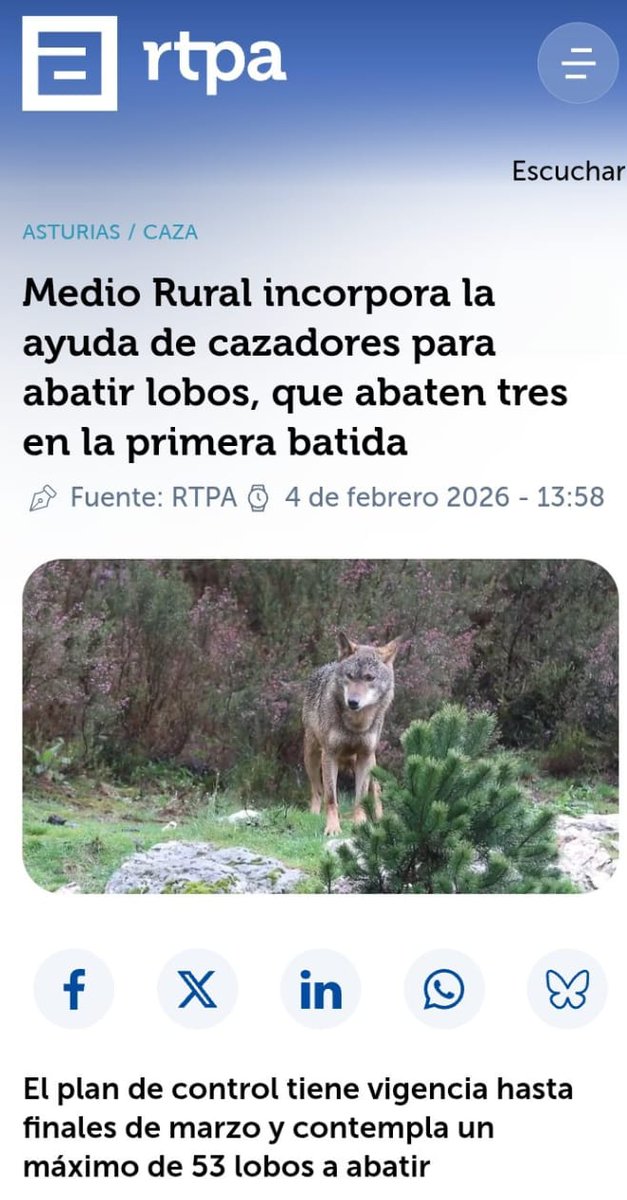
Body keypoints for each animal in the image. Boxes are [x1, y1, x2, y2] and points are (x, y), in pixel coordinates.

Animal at [303, 632, 401, 835]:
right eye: (350, 676)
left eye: (369, 678)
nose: (353, 702)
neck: (356, 725)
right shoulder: (329, 755)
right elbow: (331, 798)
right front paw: (333, 827)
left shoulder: (365, 756)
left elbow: (360, 798)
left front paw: (361, 824)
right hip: (311, 756)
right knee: (317, 790)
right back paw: (314, 814)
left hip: (370, 762)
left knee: (376, 789)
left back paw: (379, 819)